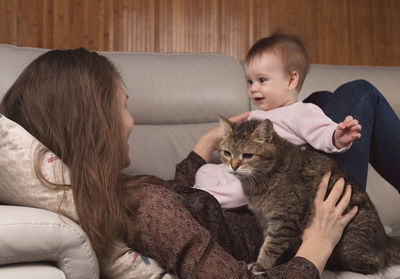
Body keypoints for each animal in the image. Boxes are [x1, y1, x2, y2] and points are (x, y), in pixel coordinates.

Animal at [219, 117, 400, 274]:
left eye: (248, 155)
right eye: (227, 153)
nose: (233, 166)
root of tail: (387, 241)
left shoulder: (284, 219)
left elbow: (271, 246)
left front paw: (261, 264)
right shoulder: (265, 219)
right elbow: (267, 241)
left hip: (349, 246)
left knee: (373, 264)